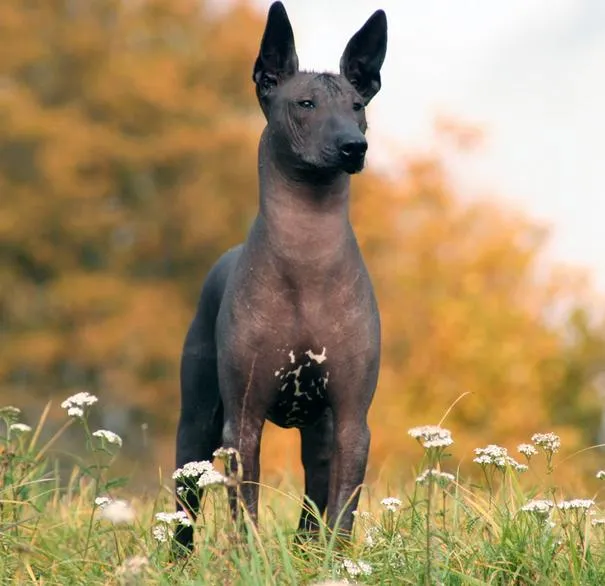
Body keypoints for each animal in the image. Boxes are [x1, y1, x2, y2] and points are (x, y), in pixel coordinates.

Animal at [173, 1, 386, 548]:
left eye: (358, 105)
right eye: (305, 103)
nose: (354, 146)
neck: (306, 258)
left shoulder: (352, 420)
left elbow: (342, 511)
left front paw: (339, 559)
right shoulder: (243, 422)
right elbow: (243, 509)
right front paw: (249, 558)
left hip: (321, 433)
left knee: (315, 499)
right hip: (195, 425)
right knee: (183, 502)